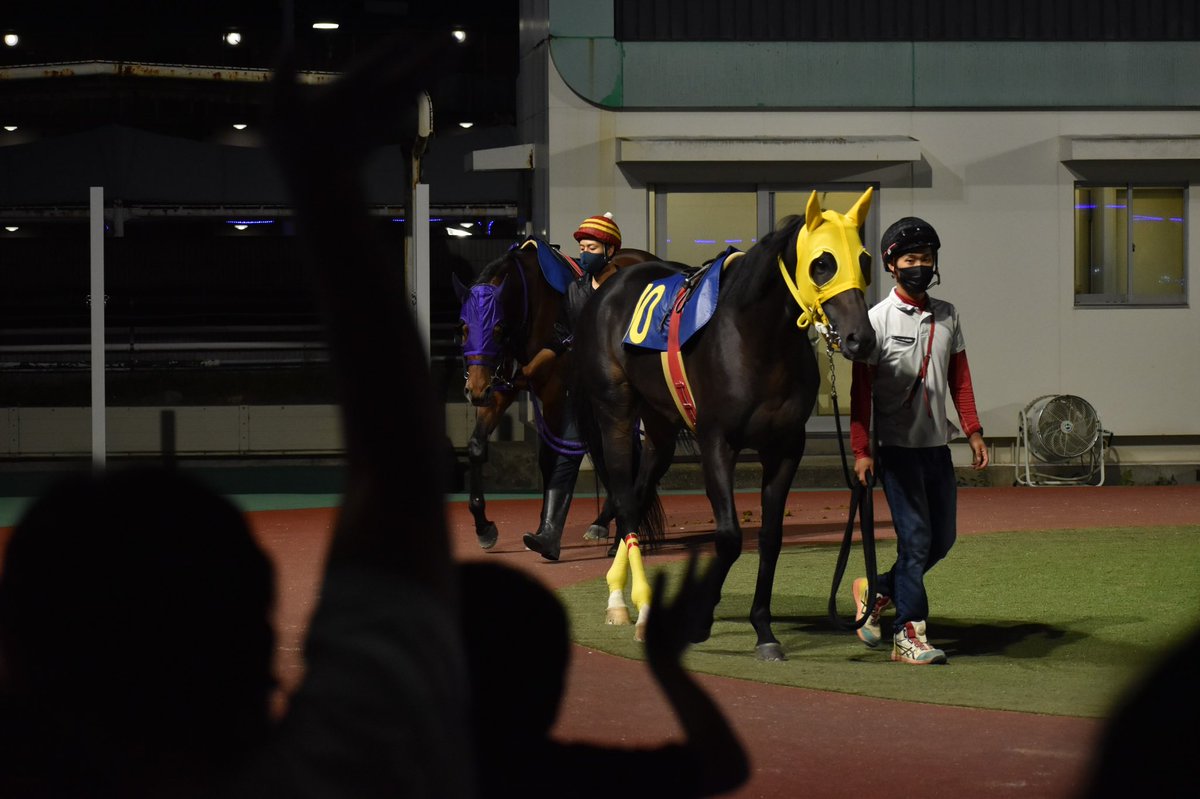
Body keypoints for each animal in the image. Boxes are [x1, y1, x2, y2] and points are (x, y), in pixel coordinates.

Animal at [453, 236, 657, 547]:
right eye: (464, 327)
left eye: (497, 328)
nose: (474, 389)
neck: (531, 305)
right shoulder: (499, 387)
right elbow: (477, 445)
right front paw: (483, 526)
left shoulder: (554, 392)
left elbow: (549, 457)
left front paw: (544, 527)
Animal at [576, 188, 878, 657]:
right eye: (822, 263)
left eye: (864, 260)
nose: (860, 339)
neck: (757, 340)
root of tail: (610, 286)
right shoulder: (717, 441)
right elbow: (730, 536)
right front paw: (699, 621)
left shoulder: (786, 447)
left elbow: (770, 537)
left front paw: (764, 630)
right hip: (616, 413)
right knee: (625, 501)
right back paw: (627, 605)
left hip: (660, 424)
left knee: (639, 493)